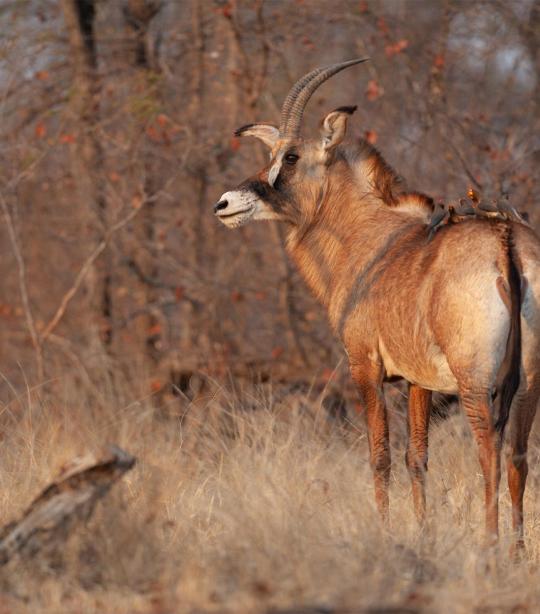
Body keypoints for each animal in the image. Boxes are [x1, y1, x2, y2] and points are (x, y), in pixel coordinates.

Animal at [214, 59, 540, 548]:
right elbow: (416, 457)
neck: (370, 237)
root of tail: (506, 243)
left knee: (491, 457)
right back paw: (517, 553)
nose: (225, 203)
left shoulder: (365, 367)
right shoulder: (419, 381)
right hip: (526, 383)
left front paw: (386, 534)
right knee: (518, 459)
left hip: (475, 383)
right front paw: (423, 533)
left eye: (290, 157)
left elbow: (380, 455)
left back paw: (489, 548)